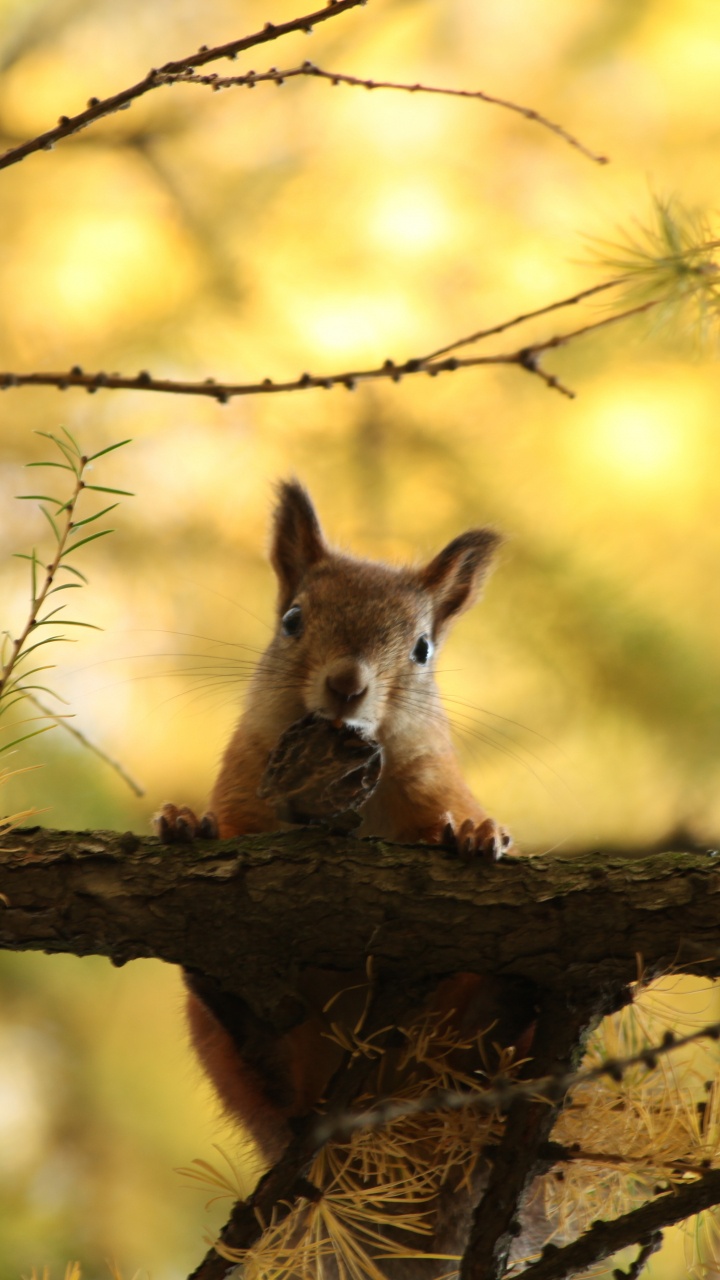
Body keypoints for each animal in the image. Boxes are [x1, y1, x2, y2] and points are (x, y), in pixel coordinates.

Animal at [157, 481, 515, 1172]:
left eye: (422, 649)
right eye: (293, 619)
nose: (347, 684)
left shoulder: (435, 783)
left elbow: (448, 817)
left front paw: (477, 836)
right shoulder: (245, 783)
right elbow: (233, 828)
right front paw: (185, 822)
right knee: (266, 1064)